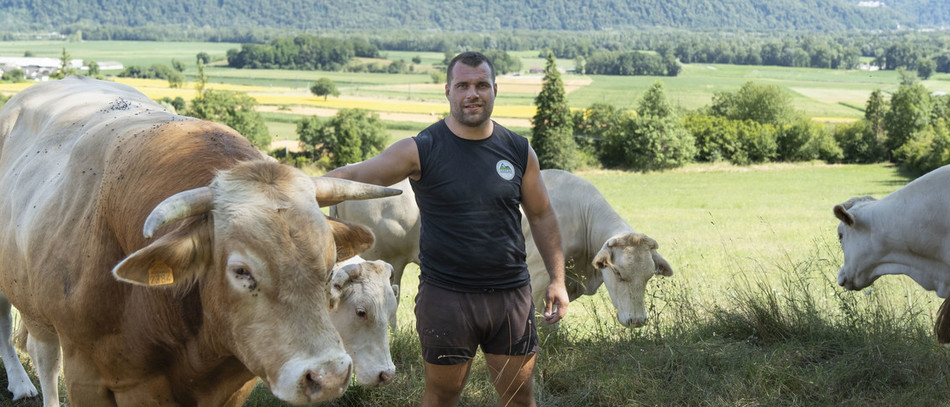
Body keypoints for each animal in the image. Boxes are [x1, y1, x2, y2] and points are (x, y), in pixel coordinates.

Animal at [0, 77, 398, 407]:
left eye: (330, 265)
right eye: (241, 271)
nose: (328, 377)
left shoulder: (235, 384)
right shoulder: (87, 378)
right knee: (37, 351)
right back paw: (21, 385)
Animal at [330, 169, 672, 328]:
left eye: (648, 277)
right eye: (620, 274)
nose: (638, 320)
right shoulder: (537, 276)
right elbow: (540, 321)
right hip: (384, 261)